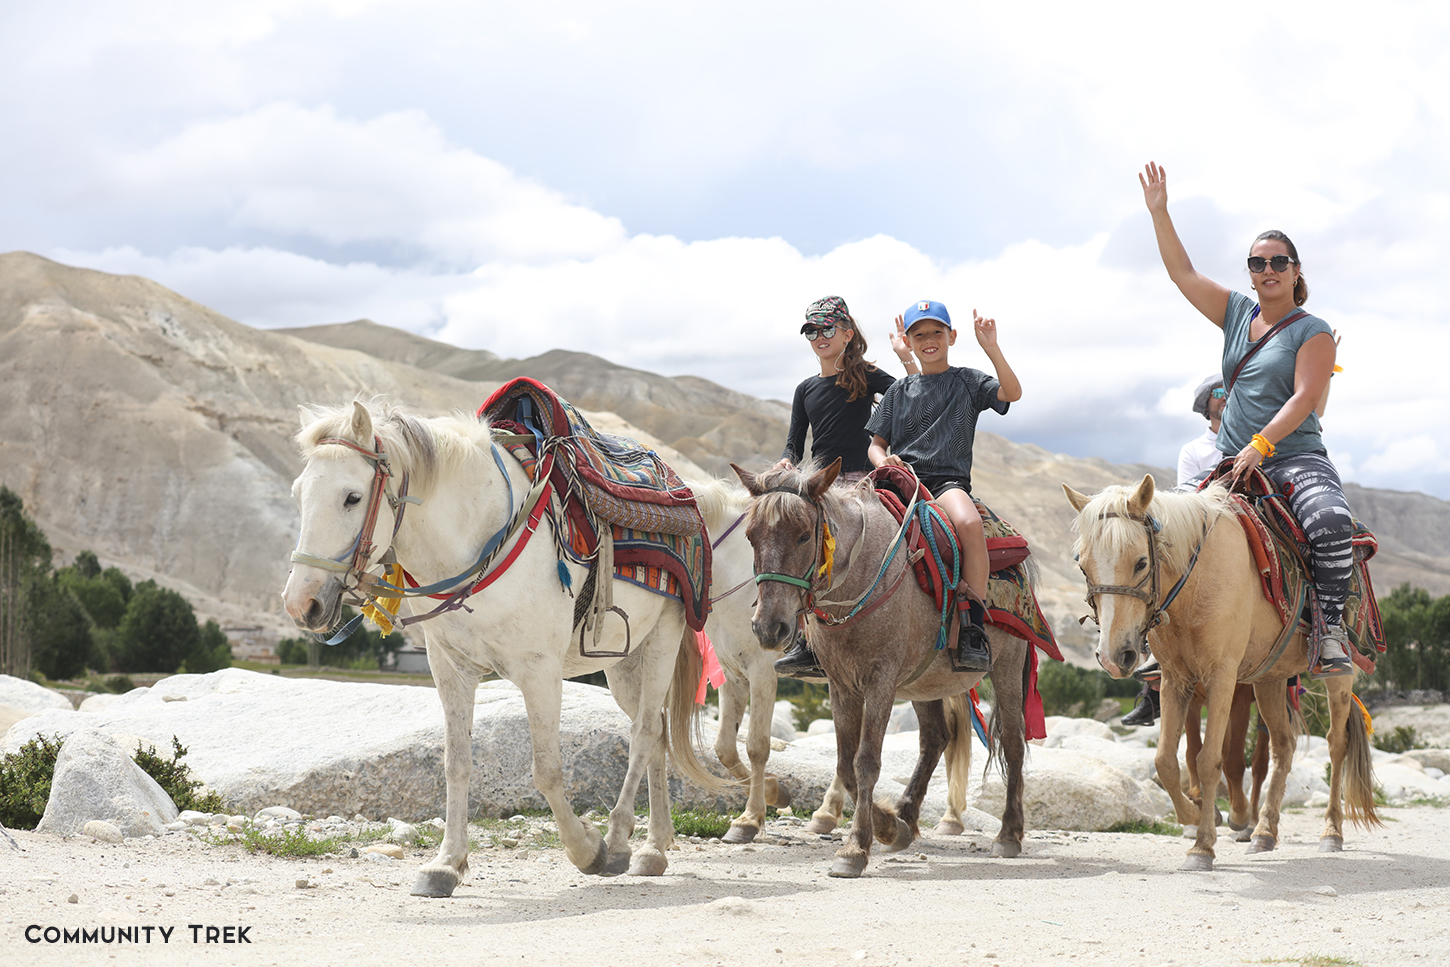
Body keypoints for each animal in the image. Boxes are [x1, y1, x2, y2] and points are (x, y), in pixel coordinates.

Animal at [278, 397, 725, 898]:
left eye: (352, 497)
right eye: (298, 493)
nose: (302, 603)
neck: (479, 539)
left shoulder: (539, 671)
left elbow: (546, 771)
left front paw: (588, 850)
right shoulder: (450, 668)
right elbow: (456, 764)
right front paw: (445, 864)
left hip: (664, 637)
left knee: (646, 731)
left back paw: (620, 841)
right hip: (623, 663)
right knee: (658, 735)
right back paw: (654, 848)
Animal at [736, 461, 1032, 875]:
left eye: (803, 535)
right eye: (750, 537)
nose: (768, 627)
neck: (862, 579)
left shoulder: (880, 681)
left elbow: (866, 763)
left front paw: (854, 849)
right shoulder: (841, 685)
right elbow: (846, 765)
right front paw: (890, 828)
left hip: (1007, 667)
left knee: (1013, 743)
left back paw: (1008, 835)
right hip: (924, 683)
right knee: (935, 738)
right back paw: (906, 816)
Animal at [1061, 475, 1374, 869]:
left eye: (1141, 562)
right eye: (1083, 567)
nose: (1115, 655)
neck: (1195, 584)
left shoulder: (1223, 677)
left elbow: (1211, 759)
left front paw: (1203, 846)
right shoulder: (1176, 680)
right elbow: (1166, 761)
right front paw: (1194, 819)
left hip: (1338, 678)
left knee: (1336, 744)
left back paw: (1330, 832)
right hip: (1270, 679)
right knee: (1283, 747)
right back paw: (1264, 833)